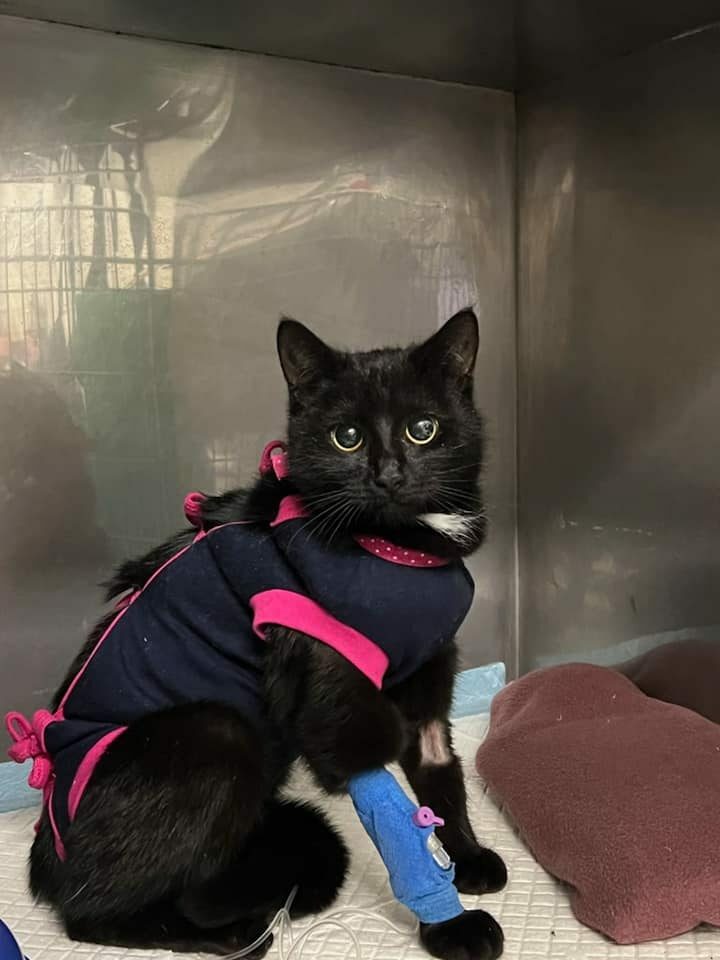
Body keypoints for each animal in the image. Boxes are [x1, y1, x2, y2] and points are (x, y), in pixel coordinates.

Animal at [25, 309, 506, 960]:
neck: (404, 548)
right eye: (346, 438)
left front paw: (467, 856)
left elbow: (438, 770)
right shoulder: (328, 680)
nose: (388, 475)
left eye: (424, 429)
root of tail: (44, 860)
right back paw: (230, 929)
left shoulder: (431, 667)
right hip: (216, 733)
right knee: (93, 915)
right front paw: (449, 922)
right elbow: (387, 801)